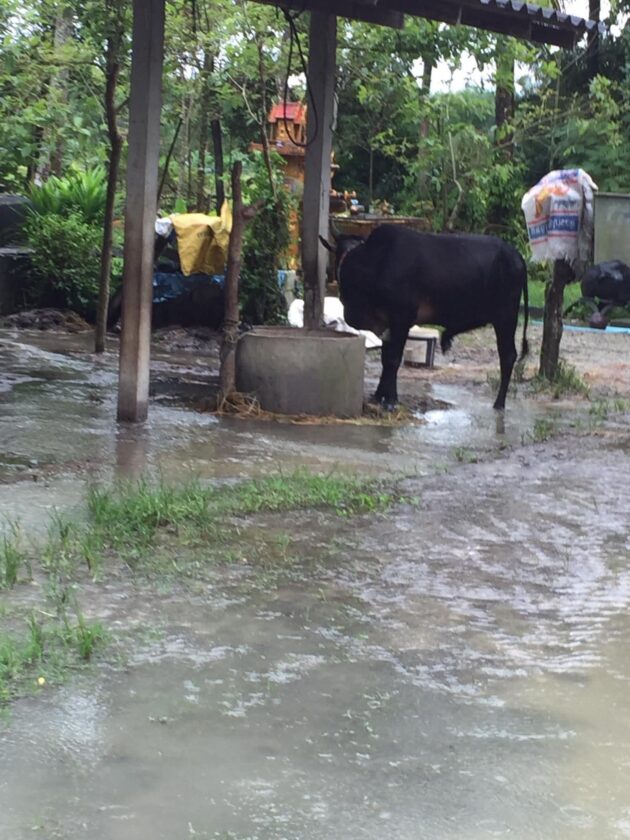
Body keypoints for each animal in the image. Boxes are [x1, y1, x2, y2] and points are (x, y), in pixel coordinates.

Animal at [320, 224, 529, 411]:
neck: (375, 262)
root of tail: (517, 256)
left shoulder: (402, 318)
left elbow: (393, 359)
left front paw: (391, 400)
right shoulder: (387, 324)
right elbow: (386, 359)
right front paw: (380, 395)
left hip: (506, 317)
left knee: (508, 356)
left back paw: (499, 404)